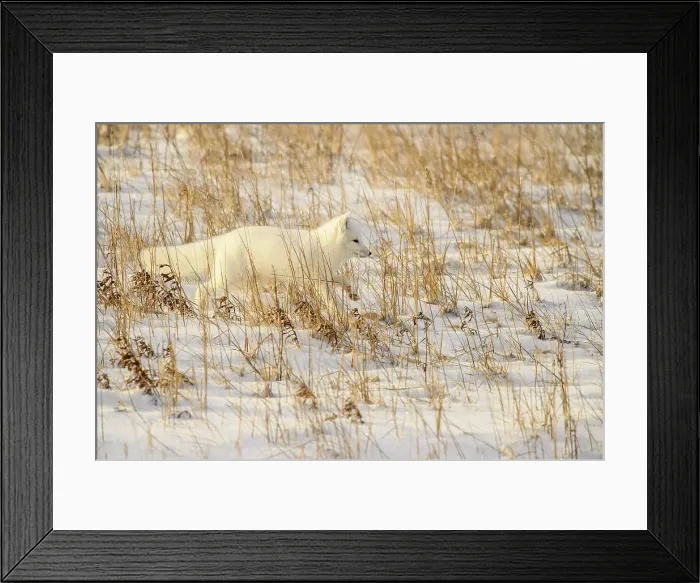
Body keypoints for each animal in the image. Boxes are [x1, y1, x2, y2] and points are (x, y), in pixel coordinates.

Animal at [138, 213, 371, 316]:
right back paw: (202, 309)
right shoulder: (316, 279)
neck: (325, 248)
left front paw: (352, 293)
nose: (370, 252)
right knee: (203, 287)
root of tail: (224, 238)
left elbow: (343, 278)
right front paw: (340, 313)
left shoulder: (326, 273)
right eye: (355, 240)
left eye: (361, 238)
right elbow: (330, 299)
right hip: (229, 279)